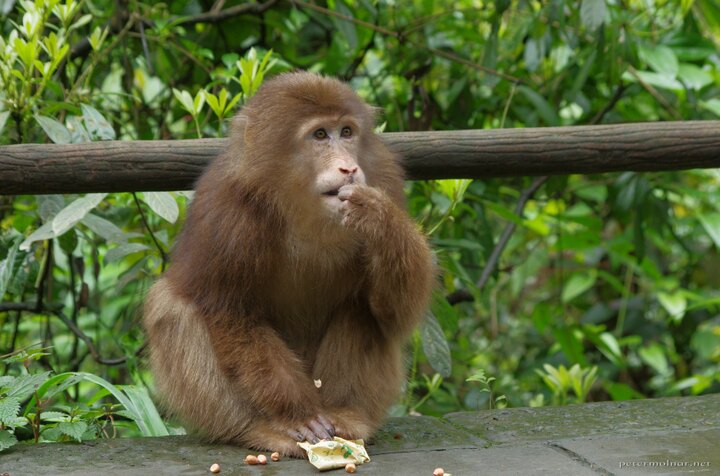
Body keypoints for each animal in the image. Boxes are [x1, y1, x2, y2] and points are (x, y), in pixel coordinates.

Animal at [142, 71, 435, 457]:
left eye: (346, 132)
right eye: (320, 135)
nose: (349, 167)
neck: (300, 204)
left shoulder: (384, 178)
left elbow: (392, 312)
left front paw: (378, 218)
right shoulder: (229, 213)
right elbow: (230, 312)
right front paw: (298, 415)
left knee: (360, 308)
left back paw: (347, 415)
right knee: (170, 307)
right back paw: (260, 429)